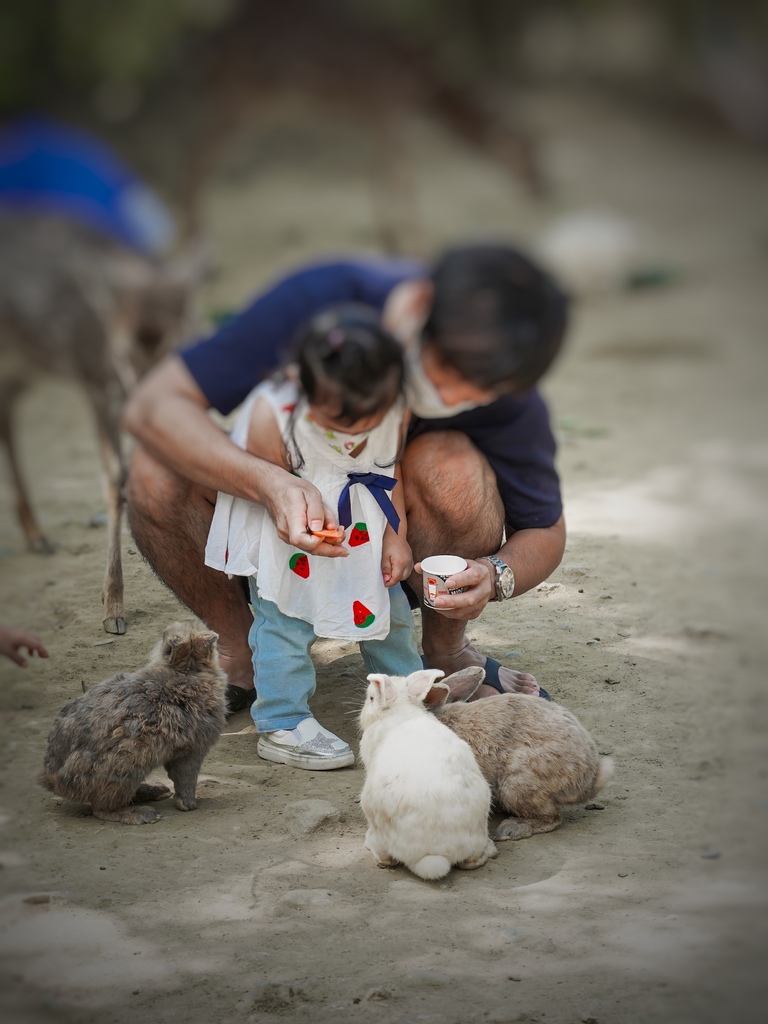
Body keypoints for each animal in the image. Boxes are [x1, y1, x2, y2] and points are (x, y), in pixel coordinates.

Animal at [38, 622, 227, 823]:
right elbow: (186, 778)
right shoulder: (193, 750)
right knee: (101, 809)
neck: (187, 671)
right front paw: (188, 805)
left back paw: (154, 791)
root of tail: (54, 780)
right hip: (125, 767)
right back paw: (143, 813)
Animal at [358, 671, 495, 880]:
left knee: (385, 858)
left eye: (371, 698)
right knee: (471, 862)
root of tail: (433, 855)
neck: (401, 710)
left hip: (371, 811)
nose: (362, 713)